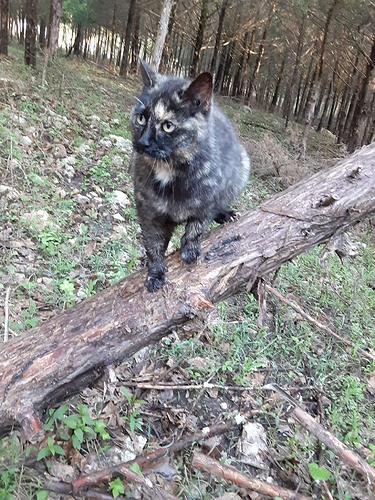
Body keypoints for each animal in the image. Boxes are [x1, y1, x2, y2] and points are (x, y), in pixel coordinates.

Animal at [131, 60, 251, 292]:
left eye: (168, 126)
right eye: (141, 118)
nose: (142, 143)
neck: (169, 171)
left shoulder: (208, 201)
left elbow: (197, 226)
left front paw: (190, 249)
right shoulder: (147, 213)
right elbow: (153, 244)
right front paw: (155, 273)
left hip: (242, 167)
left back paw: (225, 214)